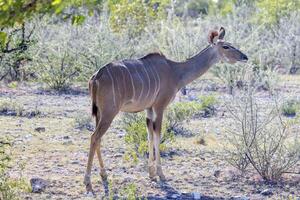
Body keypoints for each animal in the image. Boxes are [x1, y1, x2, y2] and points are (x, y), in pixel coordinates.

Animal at [84, 26, 248, 194]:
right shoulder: (160, 106)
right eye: (226, 46)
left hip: (100, 113)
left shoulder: (149, 109)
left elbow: (149, 135)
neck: (175, 71)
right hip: (109, 112)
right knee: (94, 137)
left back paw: (104, 175)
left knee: (98, 138)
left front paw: (151, 174)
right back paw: (88, 183)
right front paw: (161, 175)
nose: (245, 57)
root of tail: (96, 76)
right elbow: (158, 134)